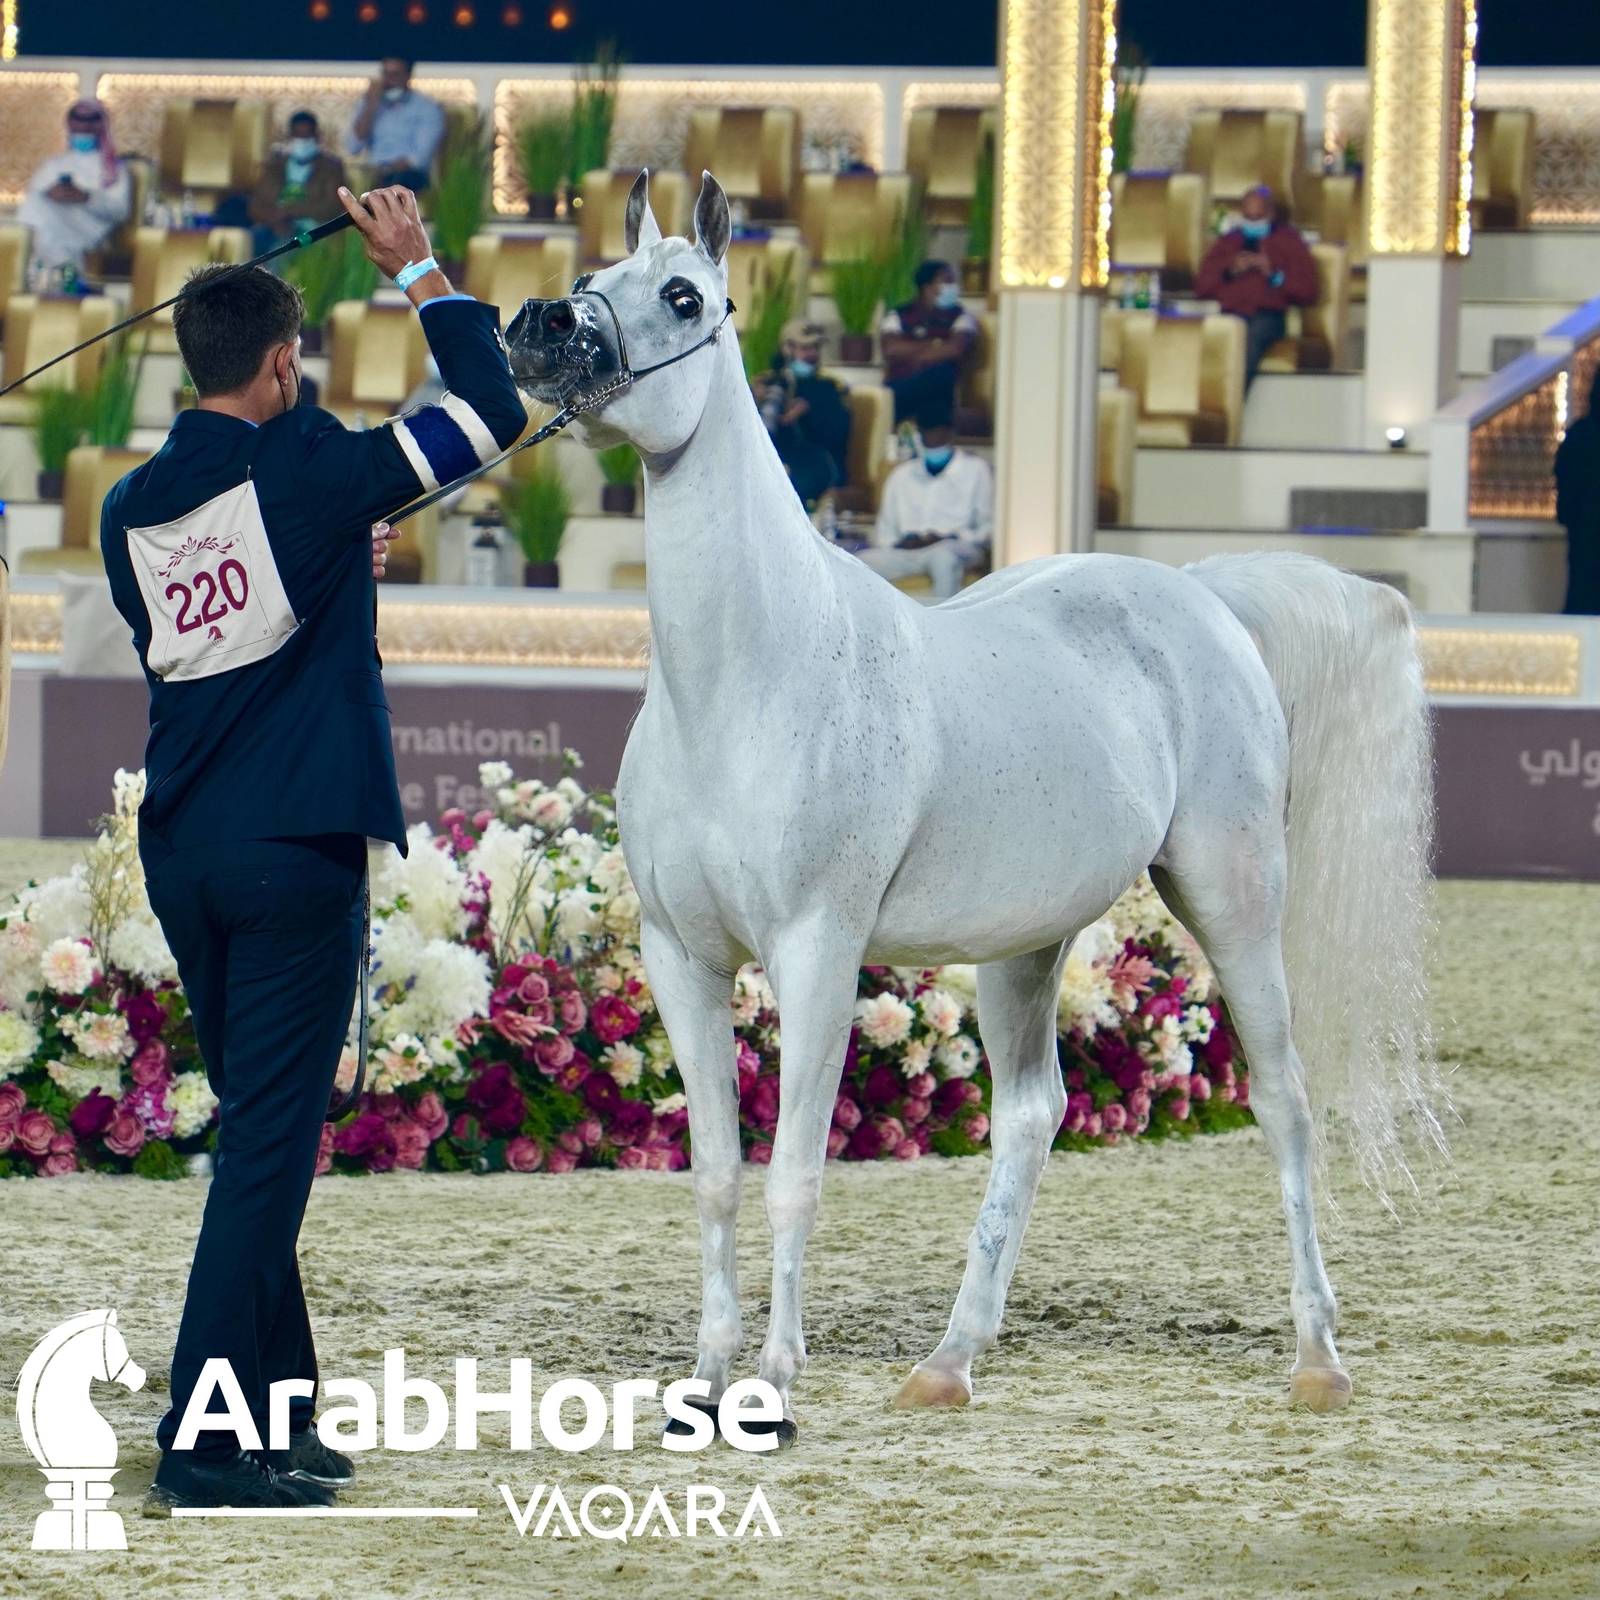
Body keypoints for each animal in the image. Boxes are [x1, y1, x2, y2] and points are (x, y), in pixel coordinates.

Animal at [504, 171, 1442, 1443]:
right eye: (593, 277)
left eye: (683, 293)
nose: (540, 327)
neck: (749, 677)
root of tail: (1200, 594)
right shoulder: (679, 958)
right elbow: (715, 1174)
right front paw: (703, 1383)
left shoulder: (816, 950)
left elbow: (794, 1171)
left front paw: (774, 1384)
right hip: (1023, 946)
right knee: (1033, 1114)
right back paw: (949, 1359)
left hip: (1233, 898)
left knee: (1285, 1102)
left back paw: (1316, 1357)